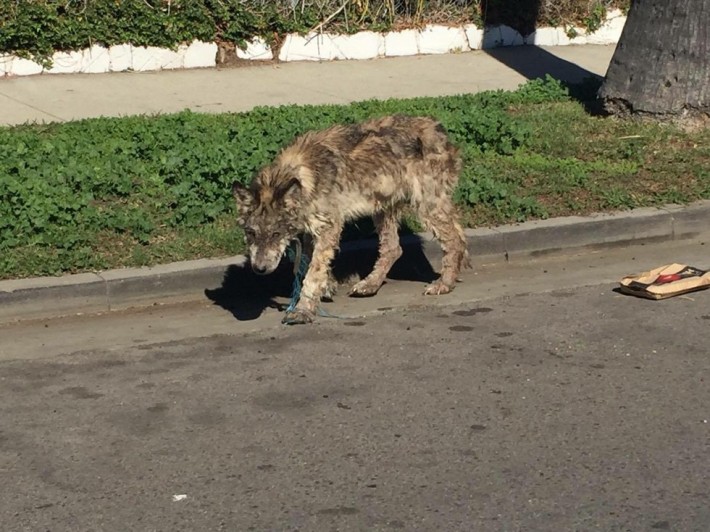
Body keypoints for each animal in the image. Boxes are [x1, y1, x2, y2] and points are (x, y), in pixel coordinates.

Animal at [232, 114, 470, 324]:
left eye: (276, 234)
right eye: (251, 233)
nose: (259, 269)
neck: (300, 178)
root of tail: (439, 130)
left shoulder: (329, 227)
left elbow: (313, 273)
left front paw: (302, 310)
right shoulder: (310, 231)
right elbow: (309, 263)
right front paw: (327, 286)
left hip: (426, 205)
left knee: (453, 241)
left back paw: (444, 284)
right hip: (384, 207)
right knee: (394, 248)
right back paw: (370, 285)